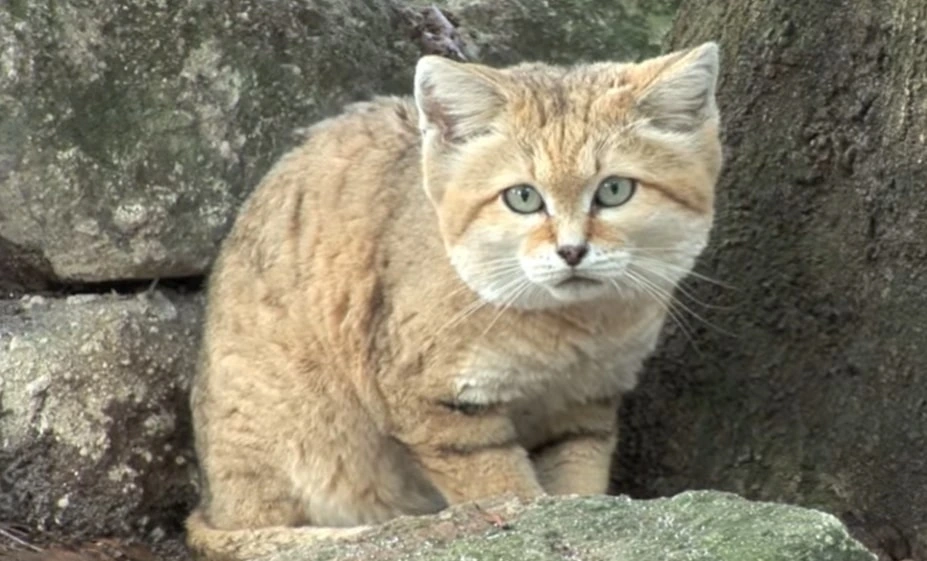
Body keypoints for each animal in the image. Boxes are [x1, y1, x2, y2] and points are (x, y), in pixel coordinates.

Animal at [187, 41, 724, 556]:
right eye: (523, 198)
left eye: (614, 190)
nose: (572, 251)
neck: (570, 325)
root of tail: (211, 505)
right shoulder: (441, 407)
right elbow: (509, 491)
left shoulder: (584, 407)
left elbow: (577, 486)